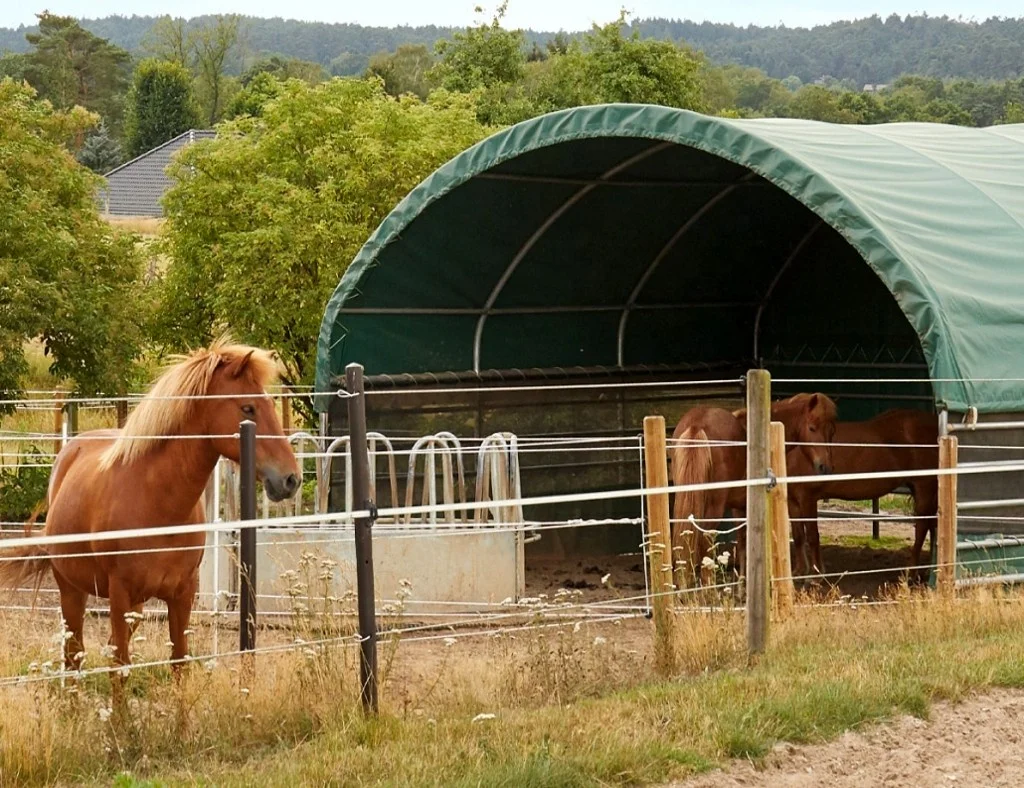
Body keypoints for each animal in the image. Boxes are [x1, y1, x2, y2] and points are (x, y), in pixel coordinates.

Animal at [0, 337, 301, 684]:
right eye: (248, 407)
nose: (291, 479)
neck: (158, 505)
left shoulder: (183, 594)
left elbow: (179, 663)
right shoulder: (120, 595)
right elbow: (120, 668)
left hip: (136, 606)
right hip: (72, 591)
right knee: (74, 658)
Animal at [669, 392, 838, 589]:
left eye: (832, 431)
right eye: (812, 428)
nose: (825, 467)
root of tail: (697, 424)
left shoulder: (738, 506)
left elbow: (742, 542)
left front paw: (742, 583)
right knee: (705, 540)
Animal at [785, 409, 938, 582]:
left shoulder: (808, 499)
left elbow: (812, 536)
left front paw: (817, 576)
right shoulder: (792, 500)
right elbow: (798, 535)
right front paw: (798, 572)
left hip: (924, 487)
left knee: (922, 527)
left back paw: (911, 573)